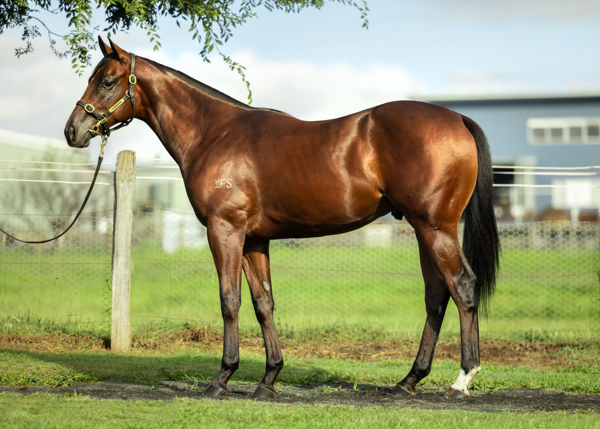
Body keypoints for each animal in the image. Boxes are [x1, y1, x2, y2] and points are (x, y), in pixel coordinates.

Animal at [64, 38, 502, 400]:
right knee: (436, 296)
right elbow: (264, 303)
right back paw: (408, 380)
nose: (73, 131)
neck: (214, 133)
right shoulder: (254, 239)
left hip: (435, 227)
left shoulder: (225, 230)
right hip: (423, 228)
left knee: (463, 286)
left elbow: (229, 300)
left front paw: (222, 379)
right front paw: (268, 380)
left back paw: (461, 380)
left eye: (107, 81)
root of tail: (458, 119)